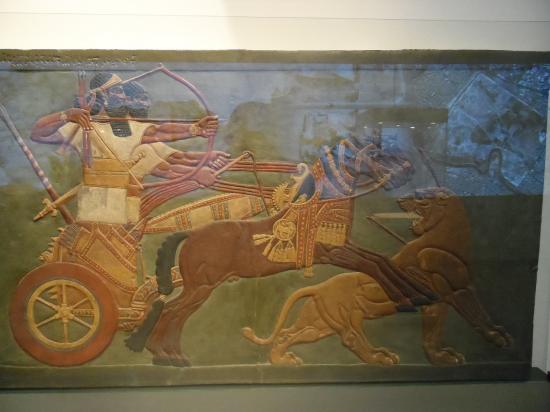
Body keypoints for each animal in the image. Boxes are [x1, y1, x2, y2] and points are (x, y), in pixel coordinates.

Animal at [243, 187, 513, 366]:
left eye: (422, 198)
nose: (400, 199)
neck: (447, 239)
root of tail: (318, 288)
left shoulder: (438, 302)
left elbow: (432, 334)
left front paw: (440, 357)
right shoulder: (458, 291)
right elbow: (477, 315)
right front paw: (498, 337)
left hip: (319, 324)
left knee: (289, 335)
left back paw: (281, 360)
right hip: (341, 319)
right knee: (351, 338)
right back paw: (379, 357)